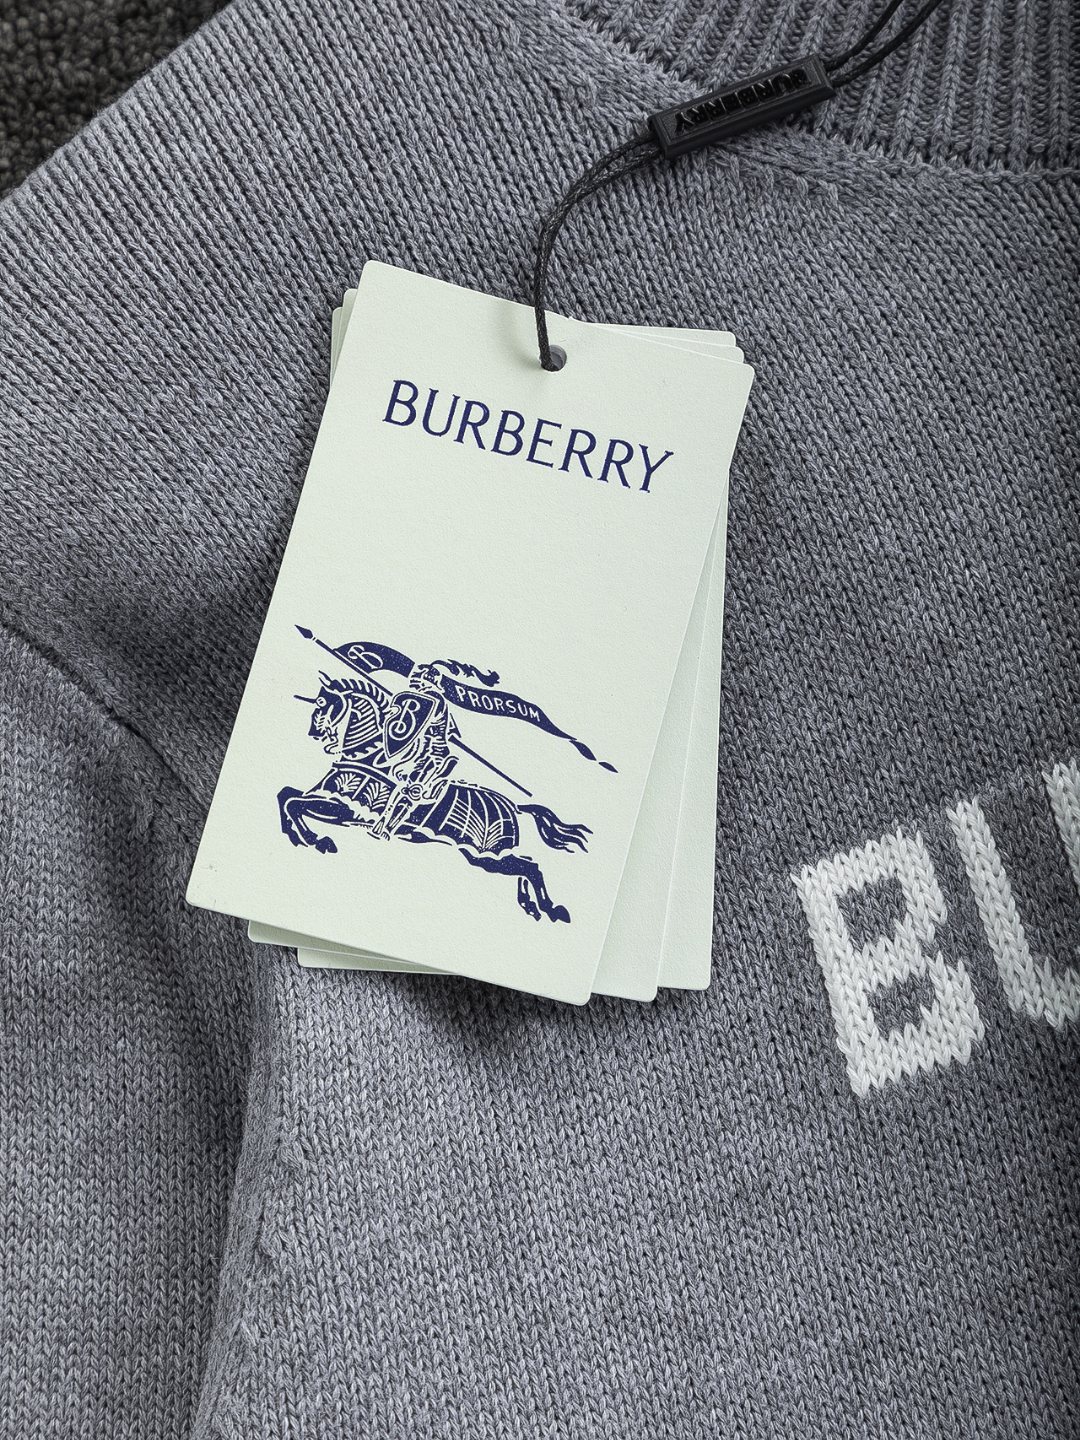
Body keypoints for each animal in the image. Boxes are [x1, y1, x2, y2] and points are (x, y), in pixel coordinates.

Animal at [277, 676, 591, 922]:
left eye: (324, 705)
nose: (315, 734)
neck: (369, 759)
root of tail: (515, 806)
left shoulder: (345, 809)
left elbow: (294, 804)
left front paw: (317, 840)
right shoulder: (326, 799)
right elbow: (287, 796)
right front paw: (294, 835)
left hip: (485, 855)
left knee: (531, 868)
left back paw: (550, 909)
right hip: (489, 856)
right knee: (525, 866)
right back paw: (531, 906)